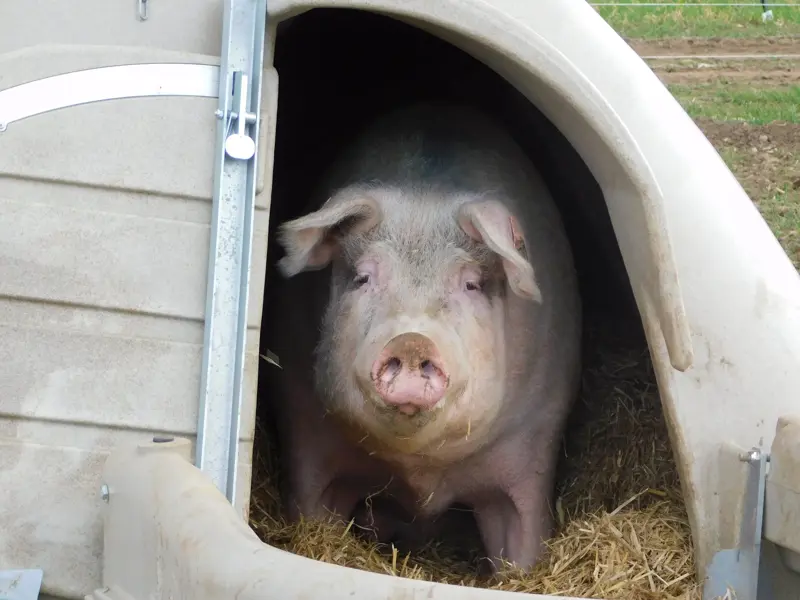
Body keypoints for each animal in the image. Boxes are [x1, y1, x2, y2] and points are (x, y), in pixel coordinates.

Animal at [264, 103, 582, 572]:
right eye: (363, 277)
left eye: (470, 284)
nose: (411, 341)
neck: (420, 473)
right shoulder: (303, 420)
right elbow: (310, 508)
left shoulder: (535, 440)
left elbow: (524, 543)